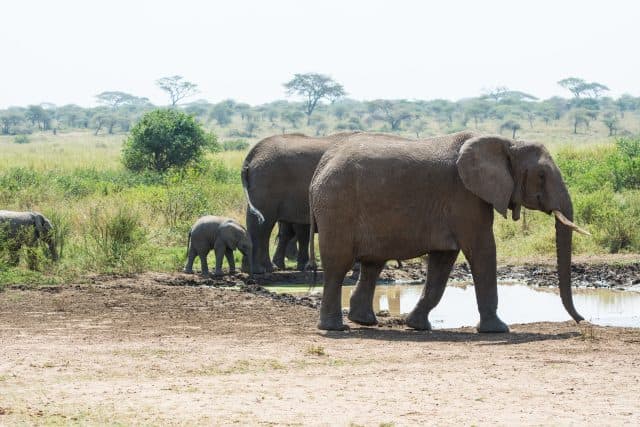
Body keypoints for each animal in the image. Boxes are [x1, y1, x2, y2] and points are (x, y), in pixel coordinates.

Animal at [308, 131, 588, 332]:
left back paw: (364, 321)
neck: (507, 142)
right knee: (338, 265)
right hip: (337, 207)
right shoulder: (465, 197)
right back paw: (335, 328)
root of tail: (320, 167)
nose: (582, 320)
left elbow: (443, 261)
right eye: (541, 175)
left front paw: (417, 326)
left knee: (372, 263)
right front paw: (498, 330)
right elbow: (482, 250)